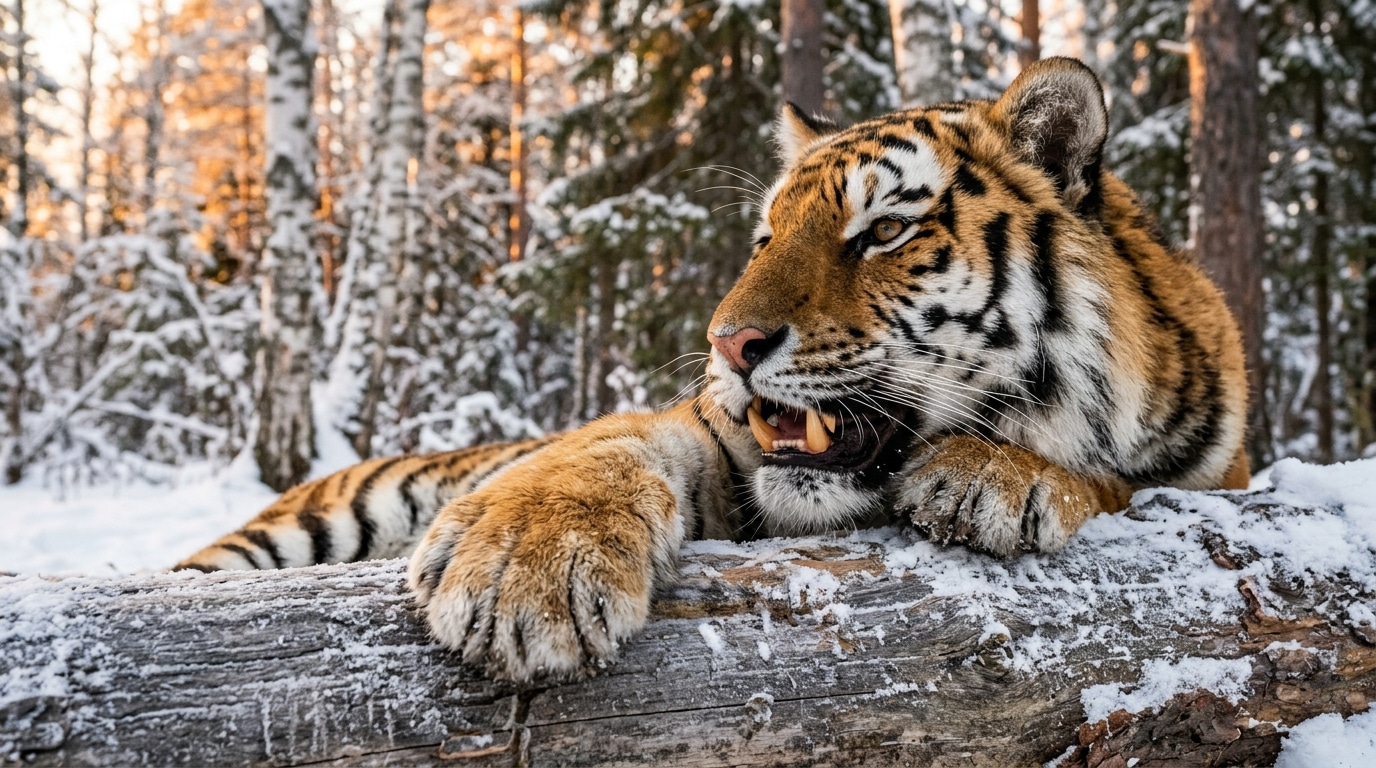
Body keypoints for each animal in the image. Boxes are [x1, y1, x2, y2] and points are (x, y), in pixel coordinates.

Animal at [177, 58, 1250, 683]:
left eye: (885, 231)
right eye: (769, 234)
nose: (728, 344)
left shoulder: (1223, 473)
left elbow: (1116, 480)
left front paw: (998, 477)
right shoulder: (706, 436)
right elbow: (604, 447)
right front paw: (522, 569)